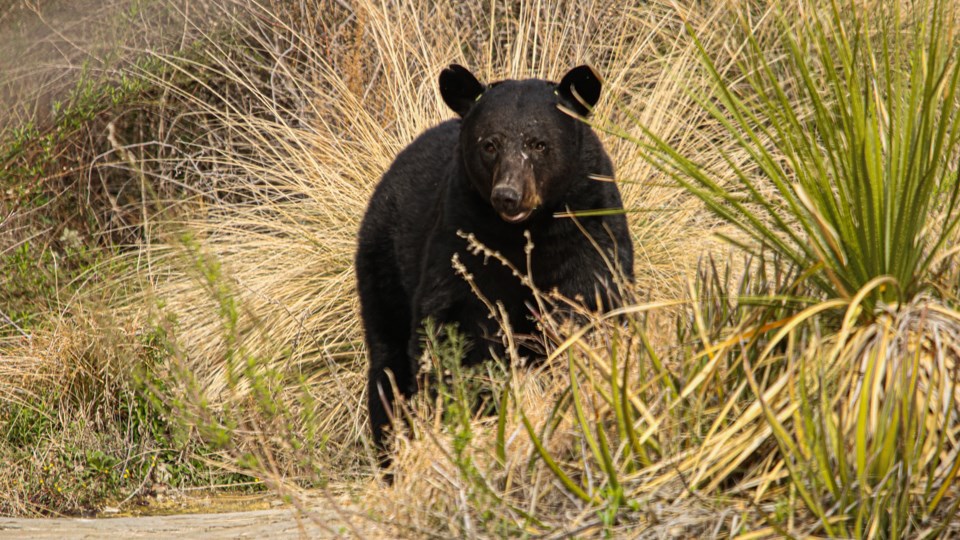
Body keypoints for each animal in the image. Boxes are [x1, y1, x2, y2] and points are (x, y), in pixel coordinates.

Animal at [356, 64, 632, 456]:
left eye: (538, 143)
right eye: (489, 144)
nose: (508, 195)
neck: (525, 233)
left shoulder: (589, 225)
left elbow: (590, 301)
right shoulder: (460, 235)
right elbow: (456, 326)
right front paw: (472, 407)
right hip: (383, 263)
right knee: (388, 363)